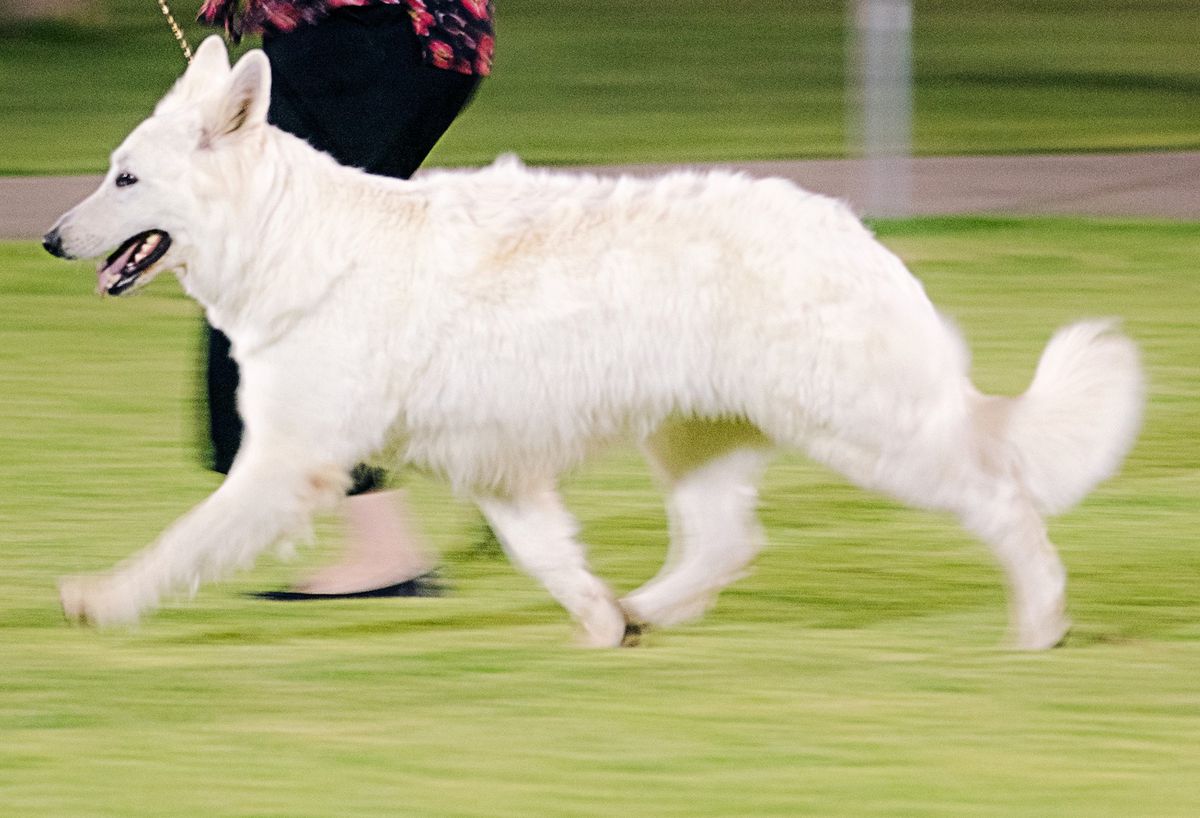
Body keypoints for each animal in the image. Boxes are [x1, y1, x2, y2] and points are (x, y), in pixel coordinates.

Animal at [42, 38, 1137, 647]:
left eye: (126, 180)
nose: (49, 238)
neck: (289, 238)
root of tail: (852, 227)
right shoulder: (494, 468)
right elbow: (548, 556)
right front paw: (601, 619)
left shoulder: (285, 463)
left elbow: (180, 542)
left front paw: (103, 598)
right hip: (697, 439)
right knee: (725, 541)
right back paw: (646, 607)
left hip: (871, 433)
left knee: (1002, 498)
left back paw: (1042, 620)